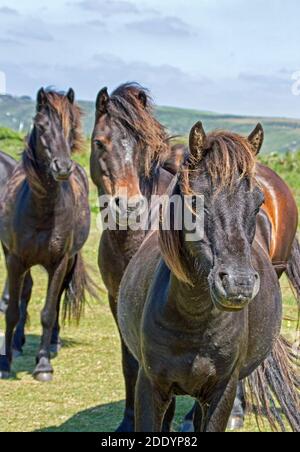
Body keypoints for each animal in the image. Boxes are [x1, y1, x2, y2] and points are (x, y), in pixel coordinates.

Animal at [0, 87, 93, 382]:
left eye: (70, 126)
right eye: (41, 126)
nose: (62, 167)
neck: (42, 208)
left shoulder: (59, 262)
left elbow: (49, 312)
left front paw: (43, 365)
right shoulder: (15, 260)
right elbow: (13, 309)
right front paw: (5, 362)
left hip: (69, 261)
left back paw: (53, 342)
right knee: (25, 293)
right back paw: (17, 344)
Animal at [118, 122, 298, 430]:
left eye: (258, 201)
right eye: (194, 199)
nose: (238, 283)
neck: (193, 318)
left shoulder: (221, 393)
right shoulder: (150, 387)